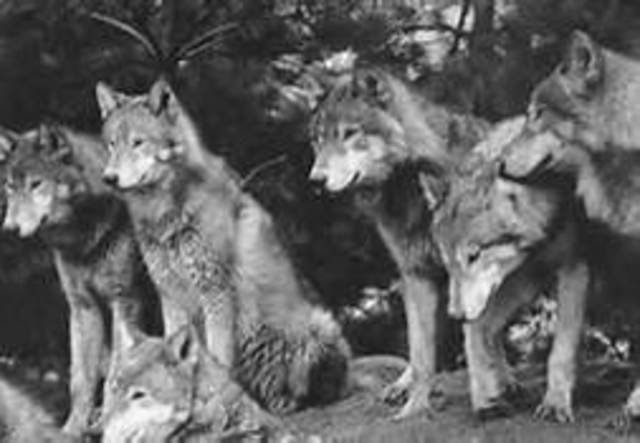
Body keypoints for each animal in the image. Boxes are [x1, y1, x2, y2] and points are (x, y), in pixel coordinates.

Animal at [0, 125, 154, 436]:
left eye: (36, 184)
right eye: (10, 185)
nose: (8, 229)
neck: (83, 238)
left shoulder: (125, 302)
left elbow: (117, 375)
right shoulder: (83, 306)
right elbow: (80, 380)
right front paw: (72, 430)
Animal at [95, 79, 351, 415]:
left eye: (138, 142)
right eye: (112, 144)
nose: (109, 178)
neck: (166, 214)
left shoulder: (215, 290)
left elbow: (218, 357)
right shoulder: (169, 292)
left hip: (319, 327)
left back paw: (284, 402)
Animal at [308, 65, 491, 419]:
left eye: (349, 133)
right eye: (319, 139)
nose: (316, 181)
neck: (409, 182)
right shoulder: (415, 271)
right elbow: (421, 356)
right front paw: (414, 409)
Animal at [427, 117, 590, 422]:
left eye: (473, 255)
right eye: (447, 260)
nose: (456, 314)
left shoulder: (574, 268)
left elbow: (562, 349)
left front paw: (555, 403)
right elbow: (475, 333)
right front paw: (485, 400)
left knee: (489, 329)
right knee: (479, 330)